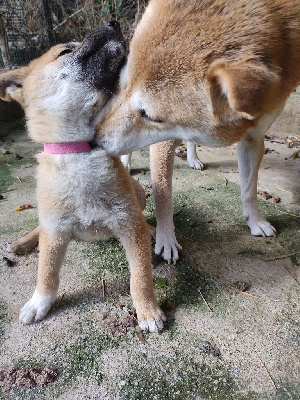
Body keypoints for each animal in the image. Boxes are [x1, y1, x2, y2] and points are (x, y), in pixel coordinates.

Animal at [0, 22, 164, 334]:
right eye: (65, 51)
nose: (113, 23)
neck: (79, 153)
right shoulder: (55, 231)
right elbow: (47, 272)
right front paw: (39, 302)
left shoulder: (128, 225)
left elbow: (140, 276)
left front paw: (148, 311)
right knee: (40, 228)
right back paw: (23, 242)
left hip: (139, 193)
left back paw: (152, 229)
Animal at [94, 0, 300, 264]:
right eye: (123, 86)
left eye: (151, 116)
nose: (94, 138)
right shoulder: (162, 144)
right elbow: (163, 196)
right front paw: (167, 240)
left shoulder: (253, 139)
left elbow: (249, 189)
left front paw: (255, 221)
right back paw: (127, 162)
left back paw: (193, 158)